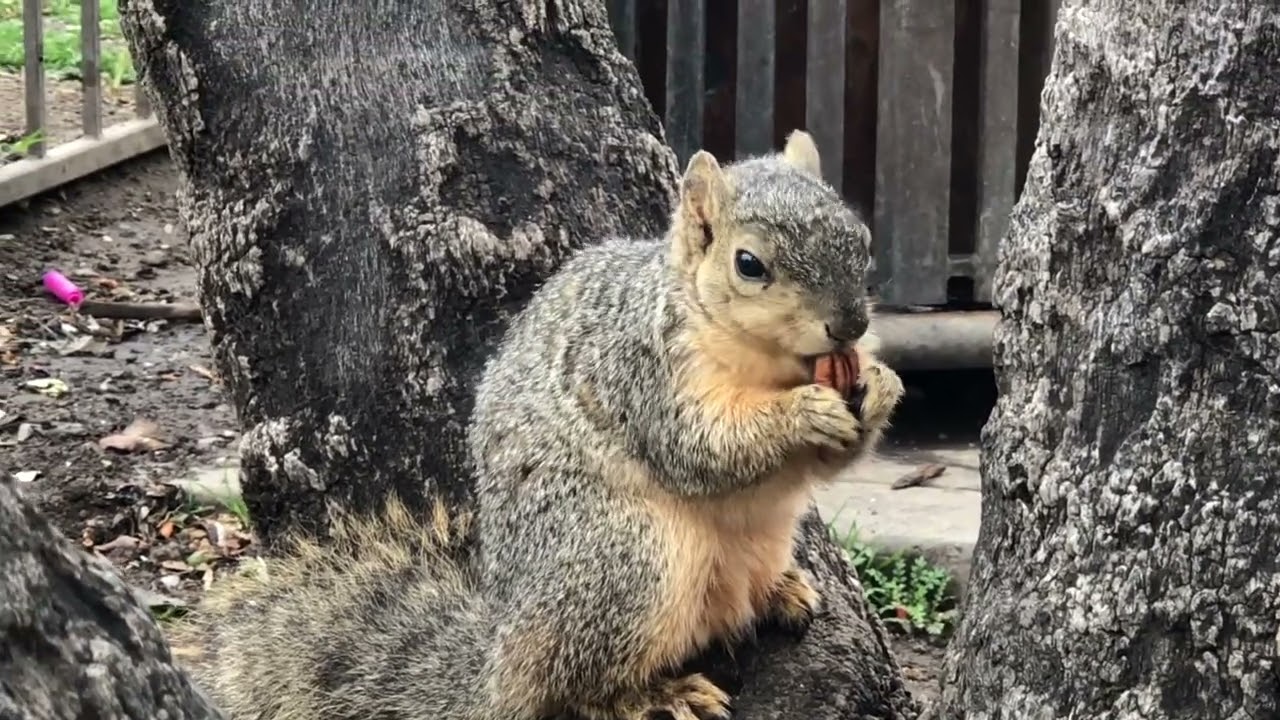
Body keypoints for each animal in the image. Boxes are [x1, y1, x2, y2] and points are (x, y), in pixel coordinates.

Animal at [166, 130, 905, 720]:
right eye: (749, 265)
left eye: (862, 239)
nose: (850, 323)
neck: (768, 364)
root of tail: (502, 661)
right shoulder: (639, 373)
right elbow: (700, 449)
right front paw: (801, 412)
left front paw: (881, 384)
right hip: (624, 560)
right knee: (576, 688)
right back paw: (655, 694)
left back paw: (780, 590)